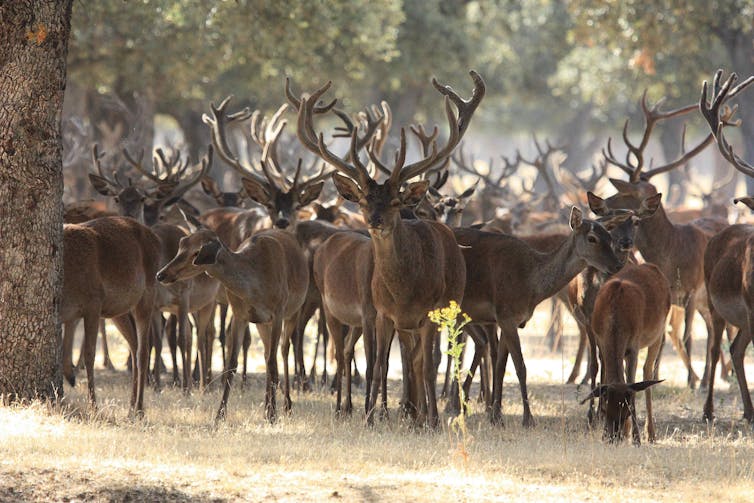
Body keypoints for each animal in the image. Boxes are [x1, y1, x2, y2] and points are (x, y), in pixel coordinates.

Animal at [580, 260, 668, 444]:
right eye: (605, 410)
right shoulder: (601, 340)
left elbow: (633, 386)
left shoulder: (634, 345)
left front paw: (637, 439)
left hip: (658, 332)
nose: (613, 438)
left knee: (647, 370)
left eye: (627, 411)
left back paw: (651, 434)